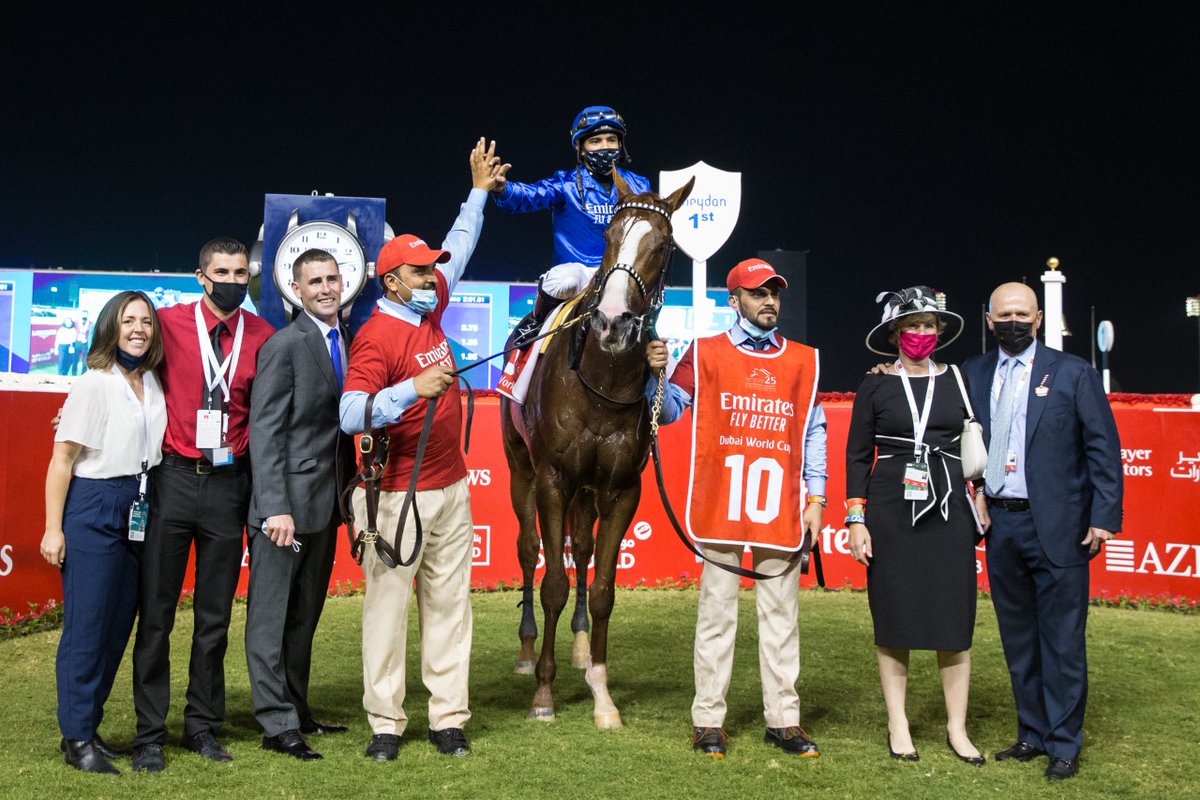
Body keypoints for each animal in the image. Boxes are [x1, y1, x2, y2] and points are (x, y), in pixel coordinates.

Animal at [501, 173, 696, 724]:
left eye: (664, 245)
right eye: (610, 235)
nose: (612, 321)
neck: (602, 380)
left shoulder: (622, 488)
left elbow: (605, 587)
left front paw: (602, 693)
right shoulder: (553, 479)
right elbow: (552, 583)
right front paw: (543, 694)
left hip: (588, 490)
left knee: (582, 549)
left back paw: (581, 647)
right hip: (520, 468)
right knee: (528, 549)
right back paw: (528, 652)